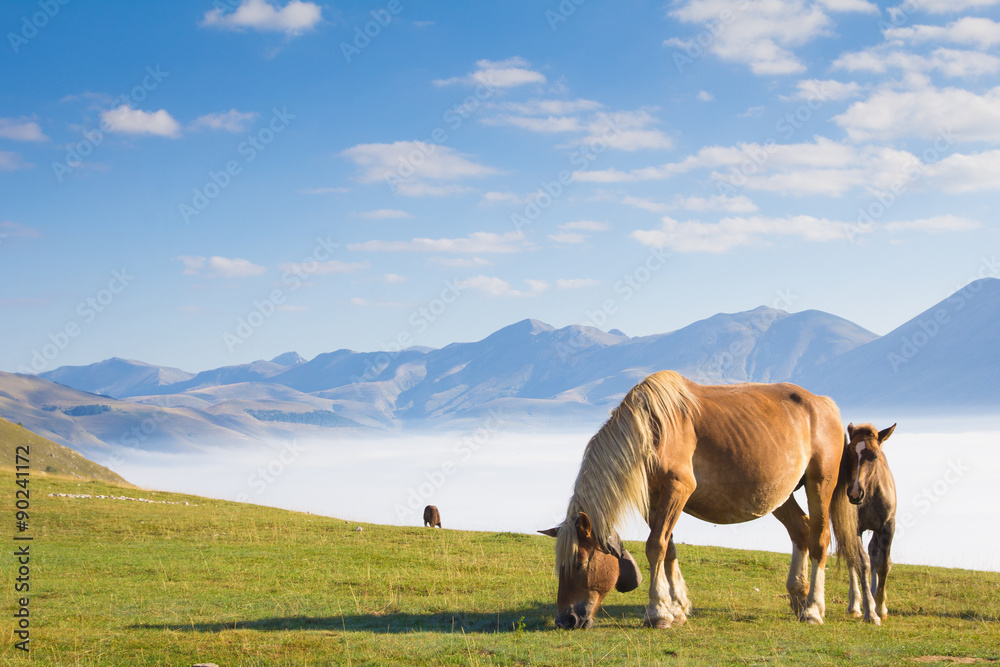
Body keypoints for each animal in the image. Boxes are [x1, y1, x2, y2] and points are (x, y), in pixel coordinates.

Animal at [540, 370, 860, 632]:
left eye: (580, 563)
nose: (567, 619)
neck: (652, 430)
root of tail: (823, 404)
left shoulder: (677, 489)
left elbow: (656, 546)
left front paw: (658, 613)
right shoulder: (654, 500)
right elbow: (667, 548)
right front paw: (677, 609)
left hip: (820, 484)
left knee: (819, 539)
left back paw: (813, 609)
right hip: (780, 497)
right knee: (801, 531)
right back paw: (798, 597)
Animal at [844, 422, 900, 628]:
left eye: (875, 455)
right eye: (849, 452)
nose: (854, 493)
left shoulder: (887, 526)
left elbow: (883, 563)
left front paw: (881, 608)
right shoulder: (855, 528)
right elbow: (862, 563)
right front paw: (870, 612)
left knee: (874, 553)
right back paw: (854, 606)